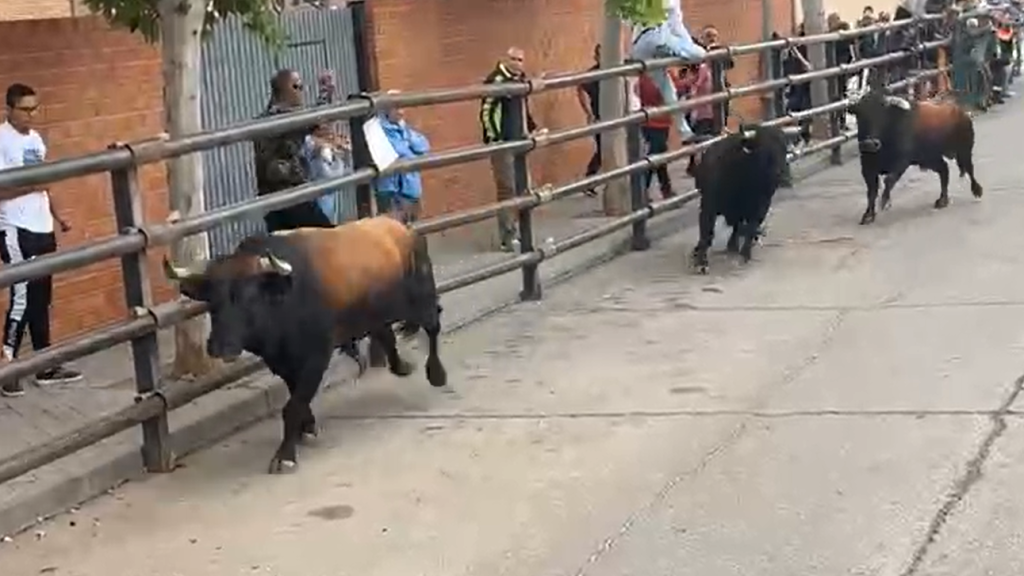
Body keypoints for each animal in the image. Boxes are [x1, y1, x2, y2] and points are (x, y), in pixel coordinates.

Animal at [162, 214, 444, 471]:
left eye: (250, 296)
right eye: (212, 299)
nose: (219, 346)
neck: (285, 299)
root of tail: (401, 227)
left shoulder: (316, 357)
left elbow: (293, 405)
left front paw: (285, 455)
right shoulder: (282, 362)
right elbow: (296, 397)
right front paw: (306, 427)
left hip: (423, 298)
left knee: (433, 327)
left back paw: (437, 373)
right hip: (374, 313)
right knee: (386, 334)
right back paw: (401, 366)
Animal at [688, 122, 790, 272]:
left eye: (784, 150)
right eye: (766, 151)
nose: (781, 173)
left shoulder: (761, 205)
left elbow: (750, 226)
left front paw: (745, 253)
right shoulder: (708, 205)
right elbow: (706, 229)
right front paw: (701, 261)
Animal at [847, 80, 983, 224]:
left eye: (882, 115)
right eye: (860, 115)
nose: (870, 143)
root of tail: (962, 112)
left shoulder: (901, 162)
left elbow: (888, 180)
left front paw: (884, 202)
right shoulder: (867, 168)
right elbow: (871, 192)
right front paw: (869, 214)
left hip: (964, 150)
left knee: (969, 169)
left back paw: (976, 190)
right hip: (930, 158)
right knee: (944, 170)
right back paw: (942, 200)